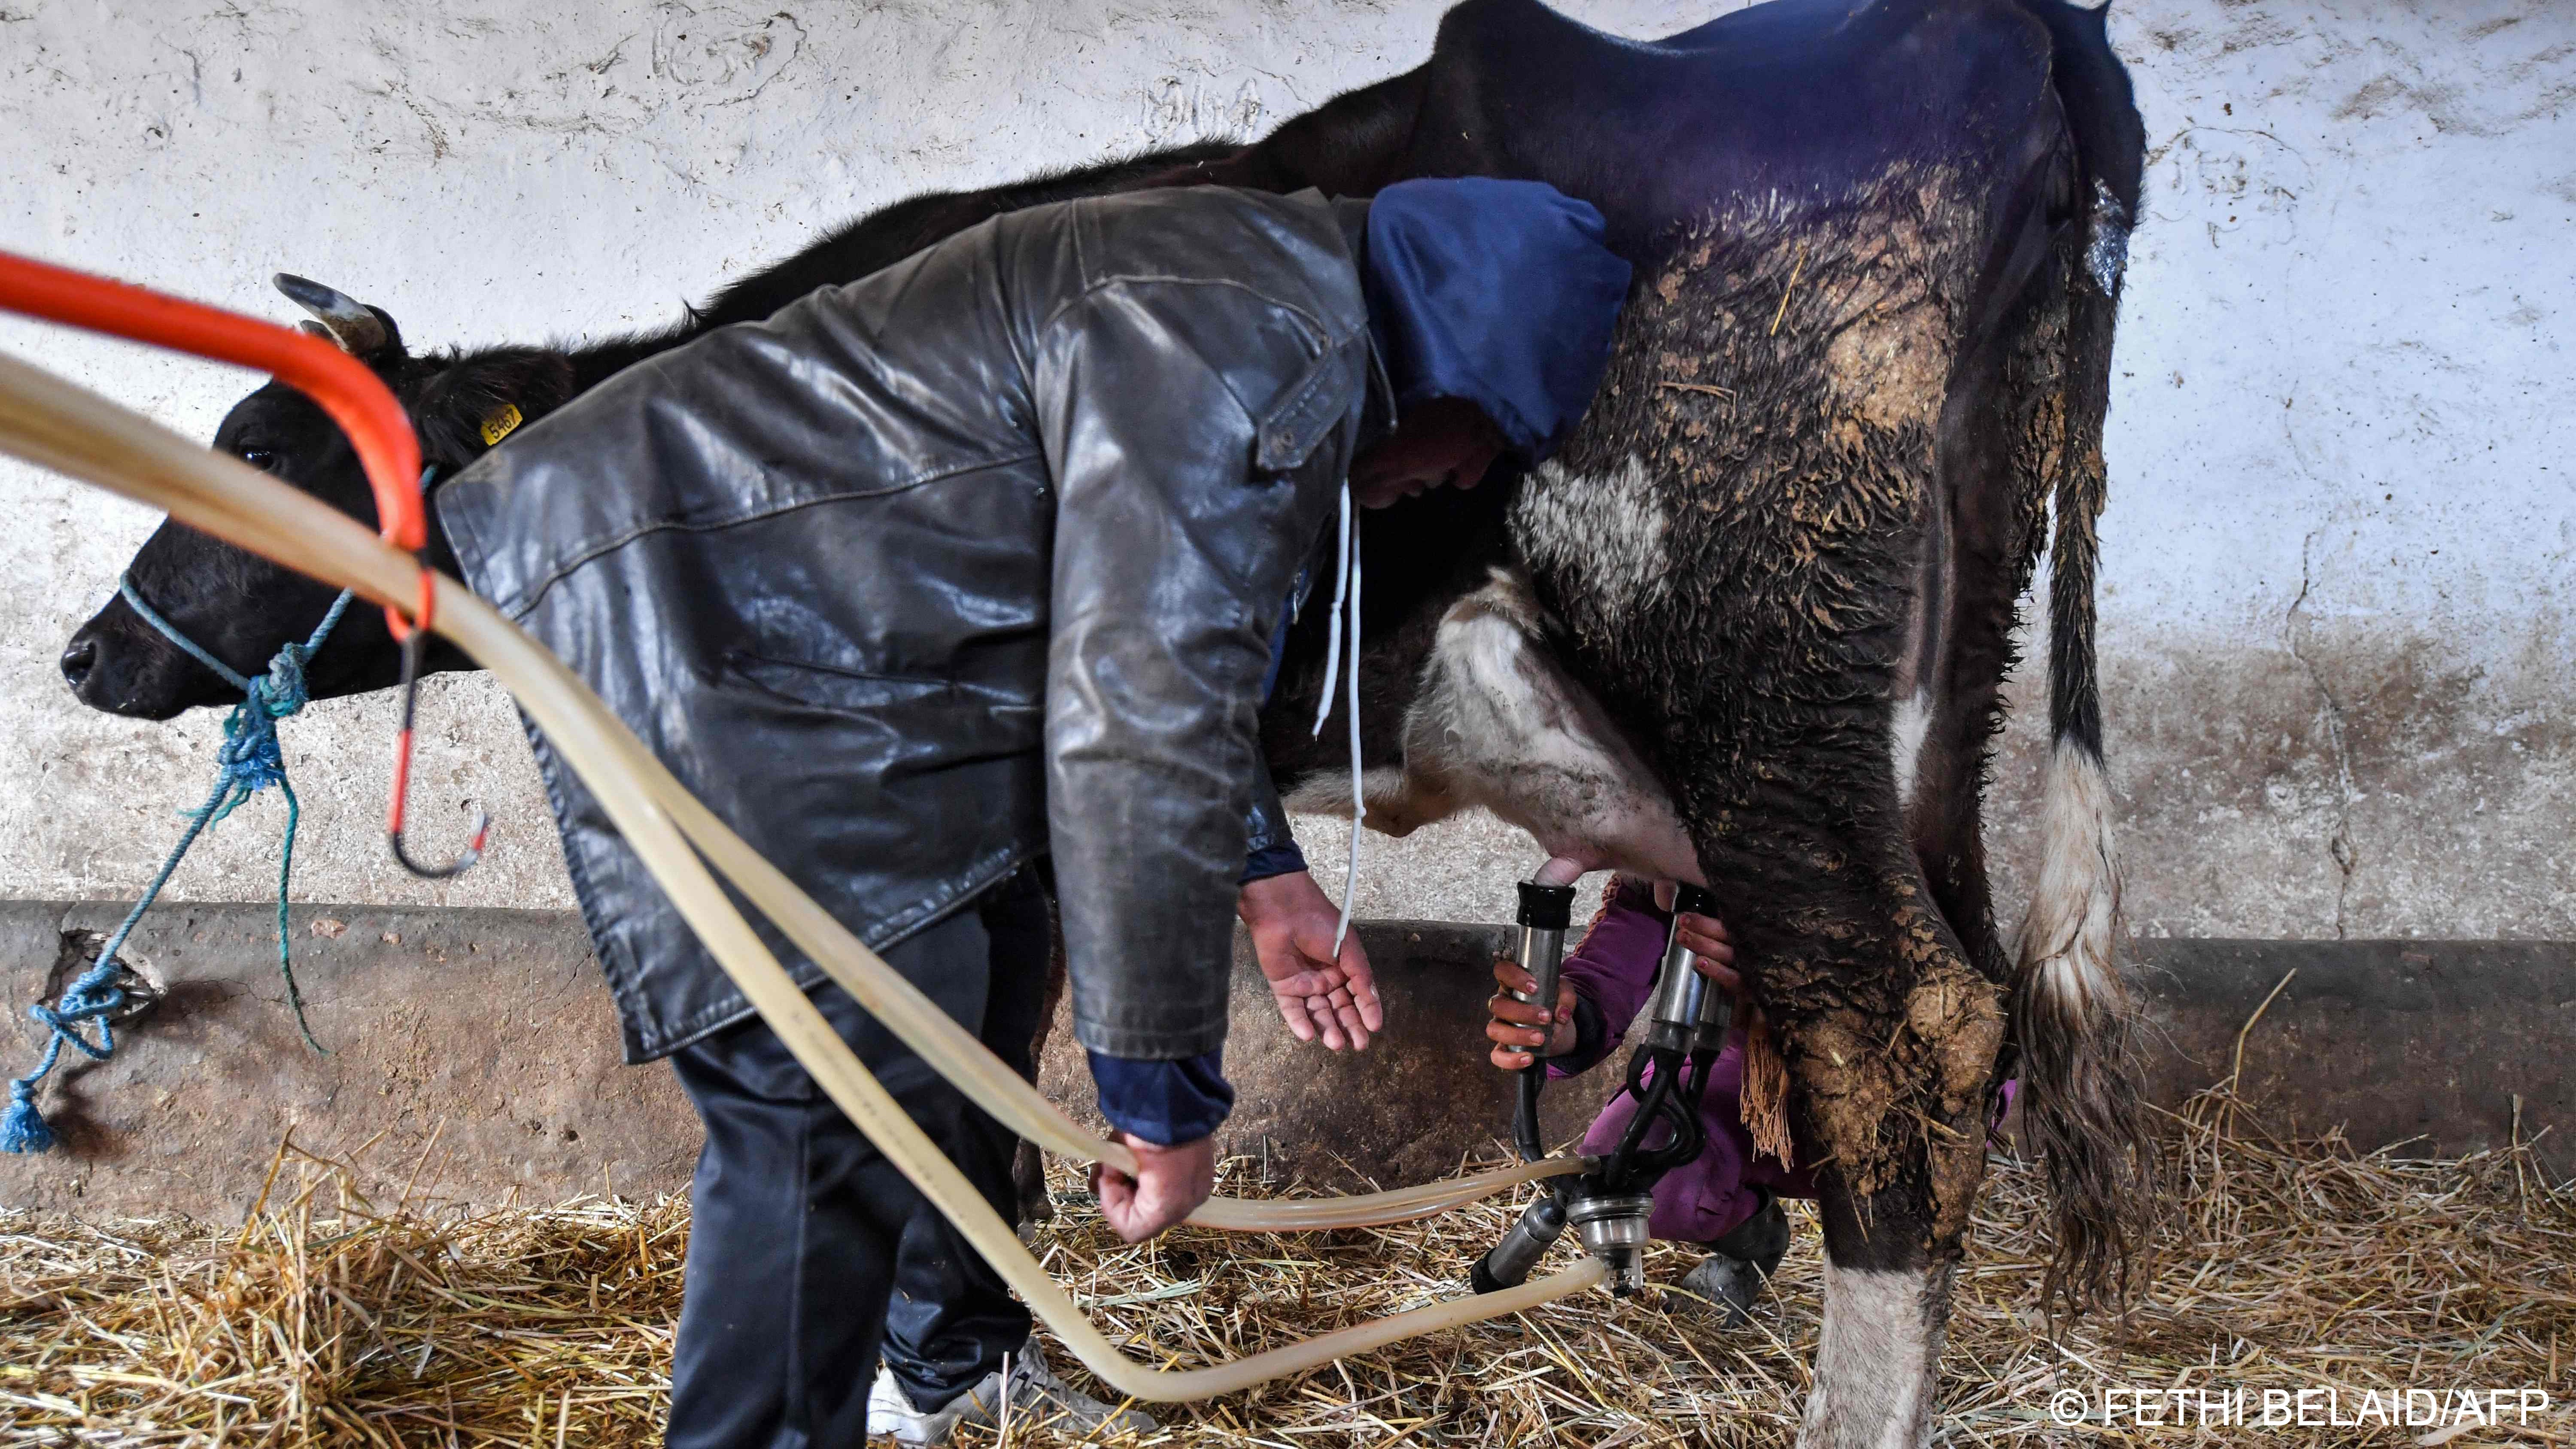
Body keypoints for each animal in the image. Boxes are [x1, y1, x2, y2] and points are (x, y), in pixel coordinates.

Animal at [55, 6, 2154, 1433]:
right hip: (1934, 698)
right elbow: (1005, 1023)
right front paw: (986, 1342)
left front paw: (938, 1353)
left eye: (273, 450)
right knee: (1954, 1007)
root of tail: (1973, 30)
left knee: (1906, 1036)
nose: (83, 655)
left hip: (1749, 670)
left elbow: (945, 1059)